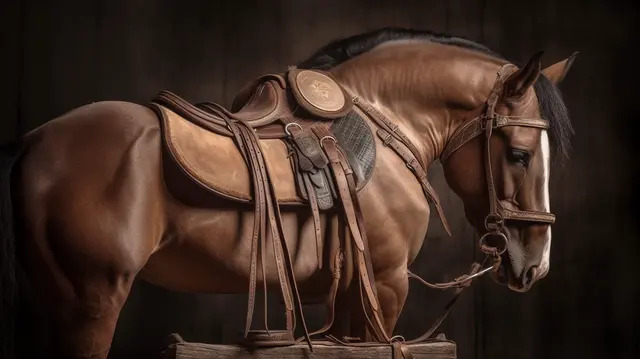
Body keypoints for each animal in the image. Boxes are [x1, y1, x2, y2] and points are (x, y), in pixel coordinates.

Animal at [0, 29, 576, 358]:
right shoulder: (387, 284)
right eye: (521, 154)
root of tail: (33, 141)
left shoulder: (352, 297)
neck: (384, 122)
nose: (536, 263)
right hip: (92, 302)